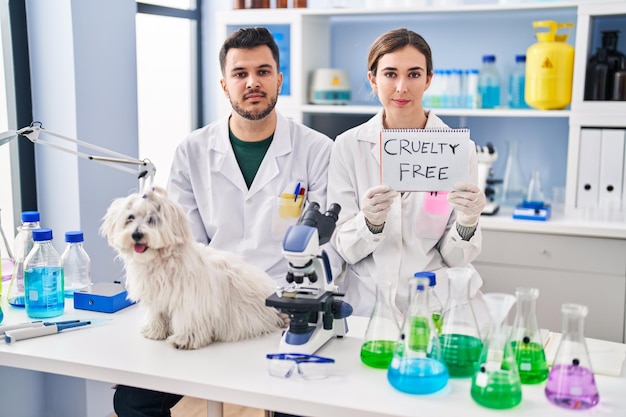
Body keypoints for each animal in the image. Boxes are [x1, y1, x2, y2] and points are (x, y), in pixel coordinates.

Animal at [100, 185, 282, 348]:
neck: (161, 259)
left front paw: (185, 339)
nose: (136, 234)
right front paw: (155, 331)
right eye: (130, 218)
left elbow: (188, 317)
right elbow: (157, 313)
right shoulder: (156, 296)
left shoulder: (191, 298)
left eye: (152, 219)